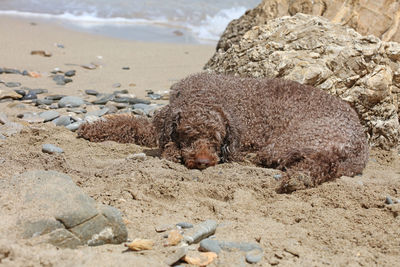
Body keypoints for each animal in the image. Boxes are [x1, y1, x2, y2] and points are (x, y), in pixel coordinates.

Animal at [78, 73, 368, 193]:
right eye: (189, 134)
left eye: (217, 138)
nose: (204, 162)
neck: (205, 95)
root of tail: (359, 142)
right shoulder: (155, 127)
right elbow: (130, 124)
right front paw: (92, 128)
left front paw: (173, 152)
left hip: (289, 142)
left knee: (316, 162)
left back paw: (296, 178)